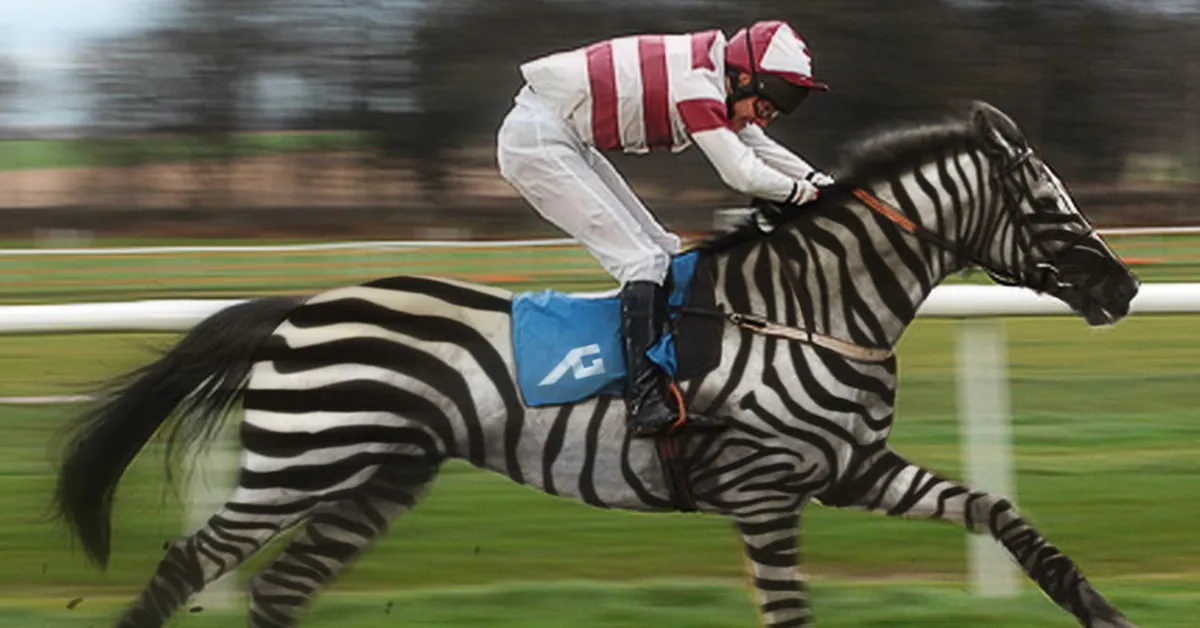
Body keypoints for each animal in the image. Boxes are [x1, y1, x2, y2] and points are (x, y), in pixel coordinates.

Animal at [52, 100, 1141, 628]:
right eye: (1050, 203)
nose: (1125, 287)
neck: (807, 310)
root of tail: (301, 305)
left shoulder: (849, 469)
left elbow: (1003, 514)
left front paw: (1104, 611)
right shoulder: (762, 489)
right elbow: (788, 608)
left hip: (378, 477)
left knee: (278, 592)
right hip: (300, 464)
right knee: (188, 562)